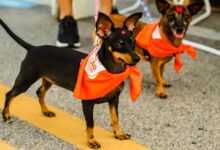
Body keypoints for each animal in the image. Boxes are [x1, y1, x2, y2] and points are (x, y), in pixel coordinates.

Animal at [0, 12, 143, 148]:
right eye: (119, 44)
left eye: (133, 42)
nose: (137, 58)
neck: (109, 70)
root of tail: (34, 48)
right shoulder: (87, 103)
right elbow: (90, 125)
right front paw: (91, 141)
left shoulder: (114, 100)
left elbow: (115, 119)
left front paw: (118, 134)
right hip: (26, 79)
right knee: (9, 94)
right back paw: (6, 115)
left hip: (49, 79)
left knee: (39, 92)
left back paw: (45, 111)